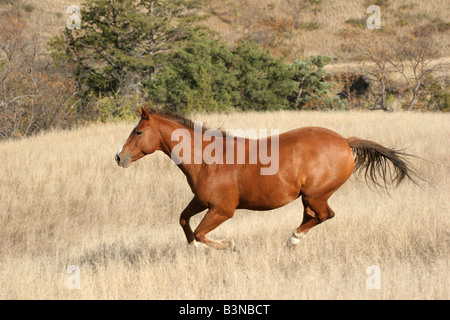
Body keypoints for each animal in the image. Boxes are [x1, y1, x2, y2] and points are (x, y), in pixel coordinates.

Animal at [115, 107, 418, 250]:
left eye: (138, 132)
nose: (119, 157)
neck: (207, 159)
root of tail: (345, 141)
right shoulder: (201, 201)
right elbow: (183, 220)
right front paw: (196, 249)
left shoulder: (222, 210)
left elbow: (201, 232)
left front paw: (228, 245)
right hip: (308, 197)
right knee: (313, 216)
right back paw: (294, 241)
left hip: (316, 194)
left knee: (324, 215)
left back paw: (293, 239)